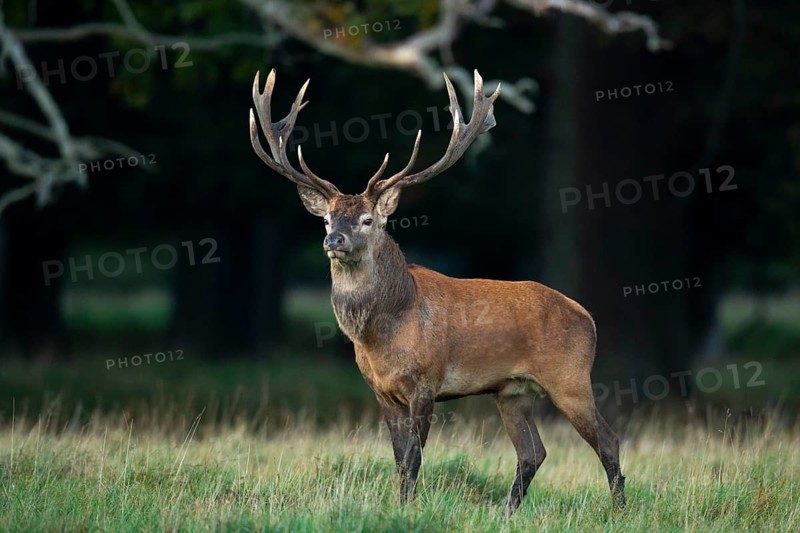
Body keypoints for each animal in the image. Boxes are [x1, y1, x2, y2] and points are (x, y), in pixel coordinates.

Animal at [249, 68, 626, 516]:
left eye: (368, 220)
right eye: (326, 218)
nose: (334, 240)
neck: (386, 331)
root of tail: (588, 318)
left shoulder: (425, 383)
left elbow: (414, 458)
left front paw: (407, 510)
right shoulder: (382, 391)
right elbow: (398, 459)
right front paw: (398, 505)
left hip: (570, 377)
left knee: (608, 440)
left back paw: (620, 510)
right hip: (512, 391)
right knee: (533, 452)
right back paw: (506, 513)